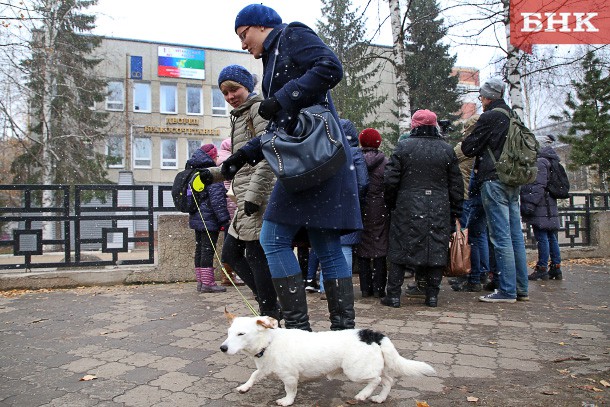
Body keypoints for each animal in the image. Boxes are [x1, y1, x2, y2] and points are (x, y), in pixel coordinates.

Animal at [218, 310, 432, 406]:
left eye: (241, 334)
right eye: (228, 333)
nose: (222, 348)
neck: (269, 343)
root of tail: (371, 334)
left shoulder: (289, 377)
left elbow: (290, 391)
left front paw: (286, 401)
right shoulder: (263, 369)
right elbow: (253, 375)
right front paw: (245, 387)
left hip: (355, 371)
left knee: (377, 379)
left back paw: (363, 395)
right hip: (371, 367)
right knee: (387, 380)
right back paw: (379, 397)